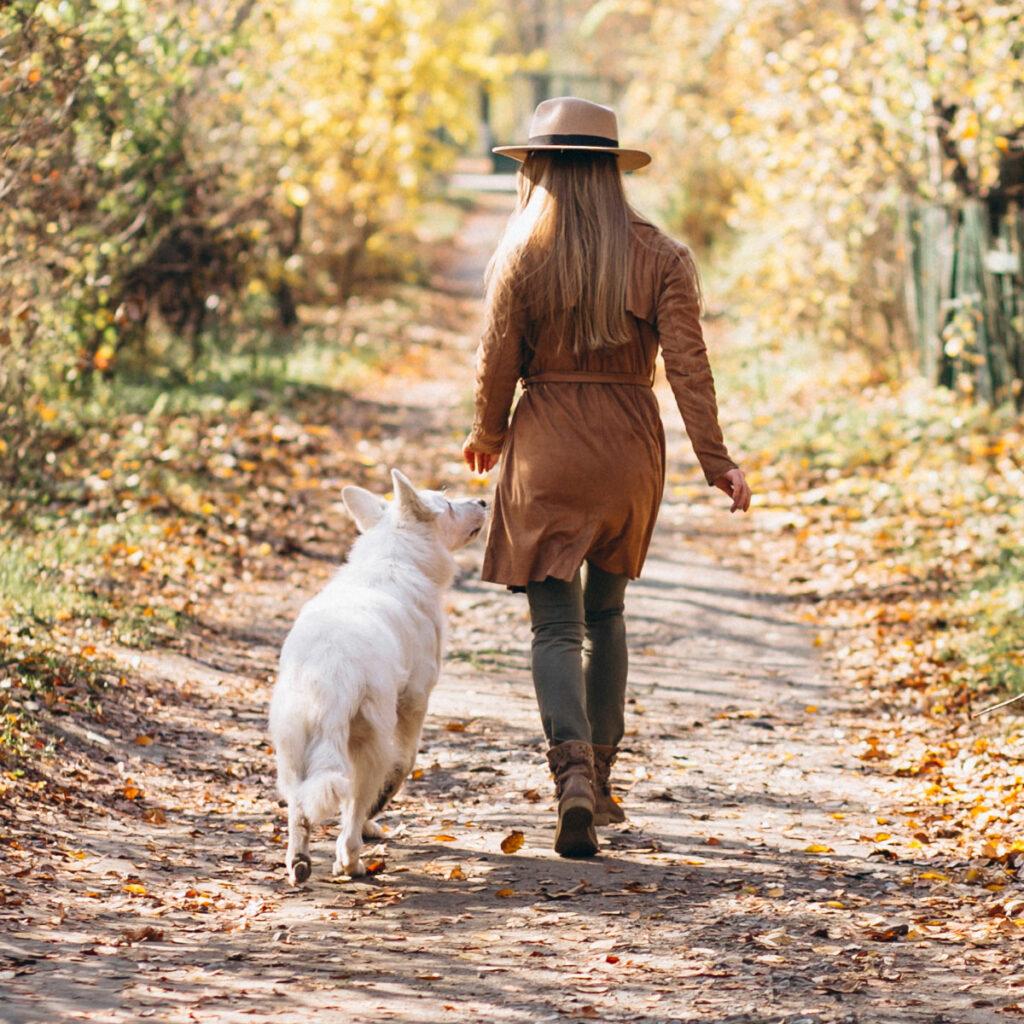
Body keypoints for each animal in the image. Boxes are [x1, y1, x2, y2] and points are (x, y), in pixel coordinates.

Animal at [266, 468, 485, 880]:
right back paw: (351, 862)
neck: (394, 556)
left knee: (300, 808)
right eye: (448, 503)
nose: (483, 501)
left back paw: (299, 861)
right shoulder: (415, 702)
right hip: (368, 742)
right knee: (352, 809)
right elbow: (403, 767)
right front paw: (376, 814)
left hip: (292, 747)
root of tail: (329, 671)